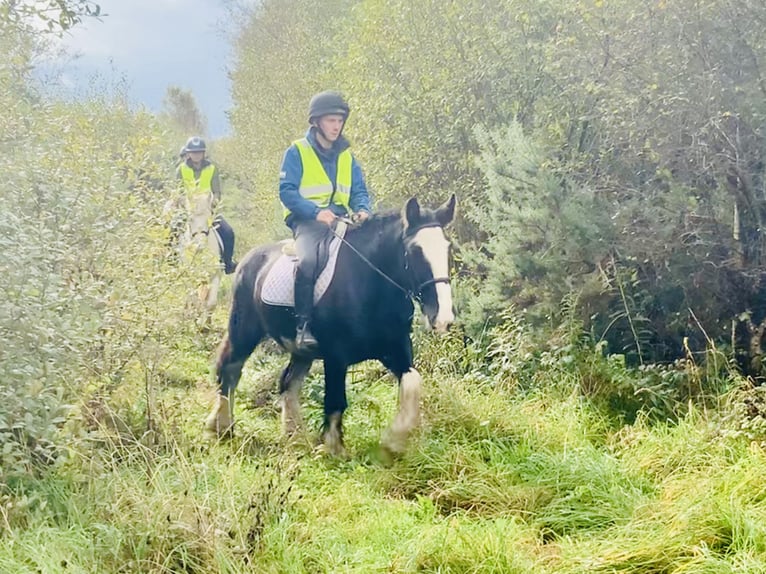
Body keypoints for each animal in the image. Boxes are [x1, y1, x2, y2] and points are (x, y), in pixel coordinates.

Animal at [206, 196, 456, 456]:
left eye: (448, 250)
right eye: (415, 251)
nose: (443, 318)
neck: (369, 283)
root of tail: (249, 259)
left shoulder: (395, 348)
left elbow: (413, 382)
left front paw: (393, 442)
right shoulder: (336, 355)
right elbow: (336, 400)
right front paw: (333, 447)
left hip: (301, 351)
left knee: (288, 382)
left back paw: (295, 436)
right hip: (244, 330)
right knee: (230, 369)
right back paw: (222, 426)